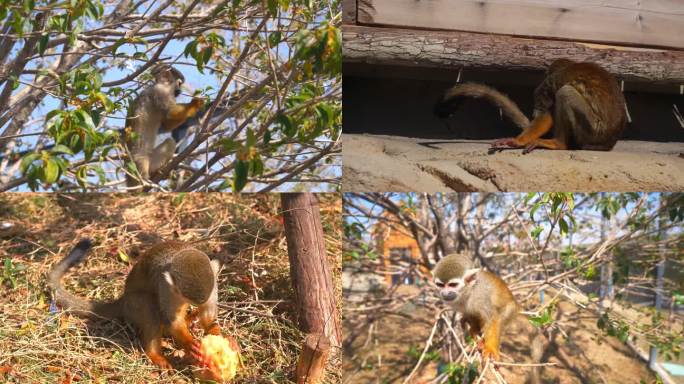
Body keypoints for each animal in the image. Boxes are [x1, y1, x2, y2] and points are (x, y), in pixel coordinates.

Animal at [436, 254, 544, 382]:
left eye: (452, 285)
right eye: (440, 285)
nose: (444, 293)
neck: (469, 291)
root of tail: (517, 306)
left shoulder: (481, 297)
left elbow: (492, 318)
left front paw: (491, 349)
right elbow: (470, 313)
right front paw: (473, 328)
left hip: (509, 310)